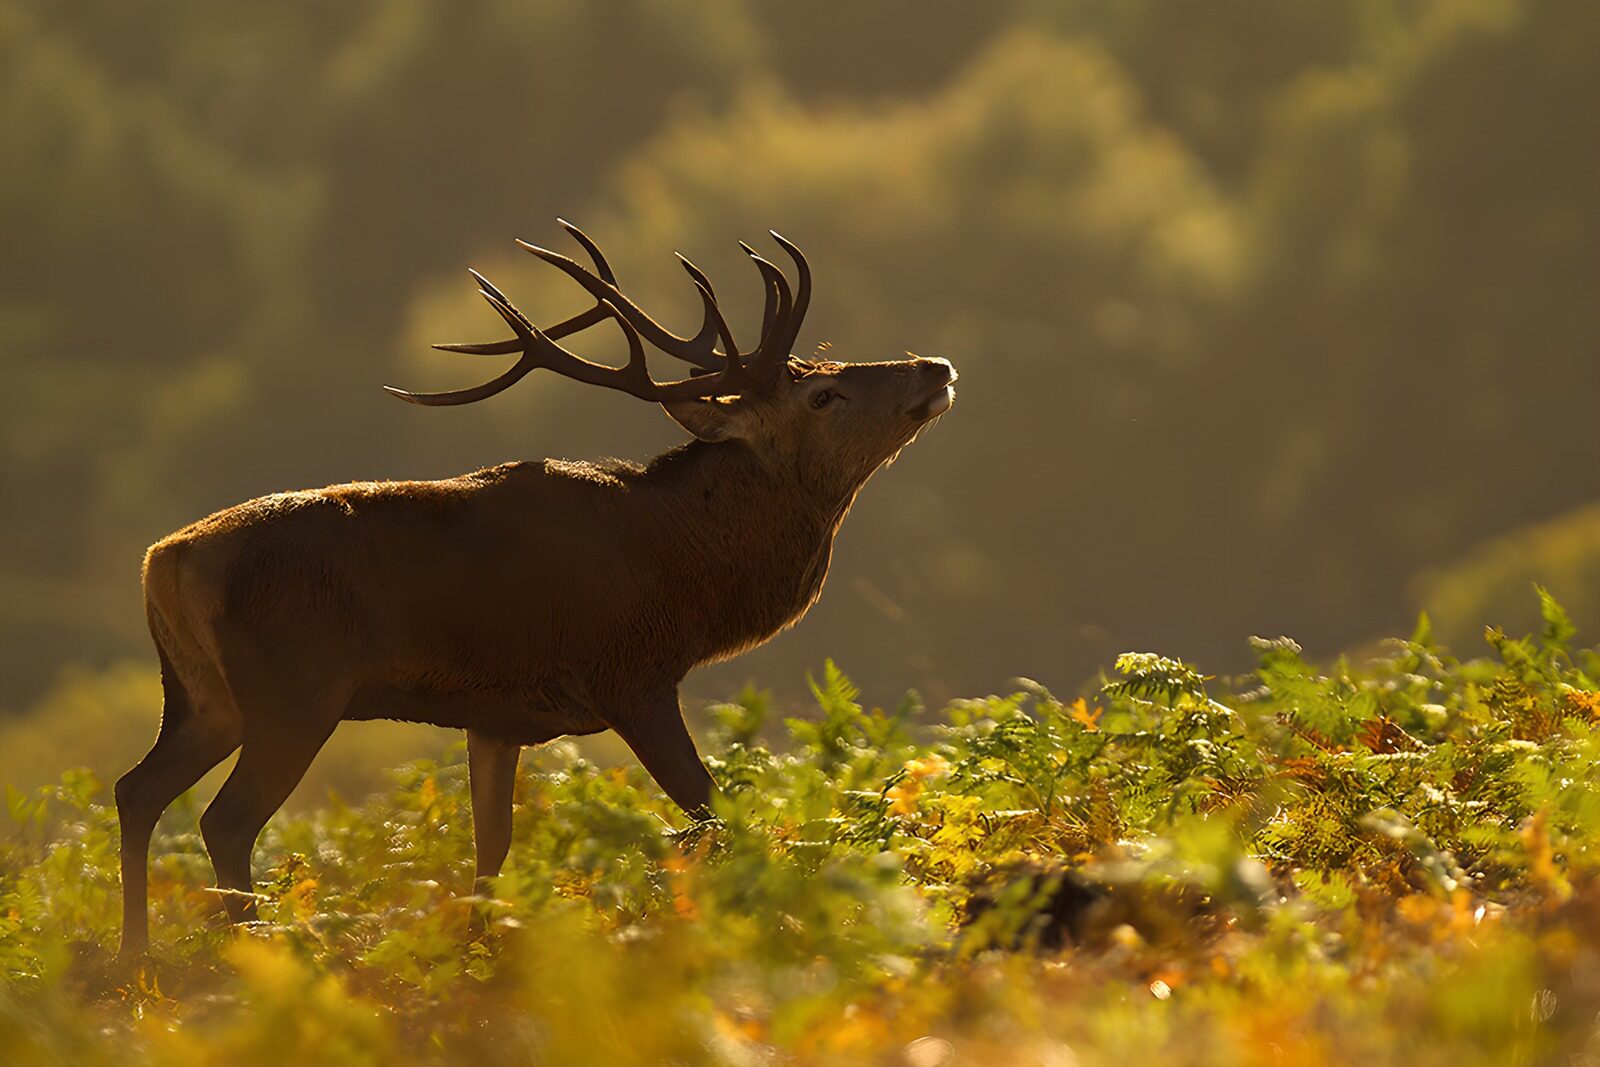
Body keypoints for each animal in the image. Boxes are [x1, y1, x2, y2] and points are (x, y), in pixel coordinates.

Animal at [113, 221, 955, 962]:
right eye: (823, 397)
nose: (935, 368)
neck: (689, 570)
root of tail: (165, 561)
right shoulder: (631, 674)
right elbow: (713, 808)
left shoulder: (496, 717)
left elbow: (492, 846)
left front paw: (482, 951)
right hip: (296, 687)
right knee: (225, 820)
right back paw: (245, 951)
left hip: (204, 698)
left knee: (135, 789)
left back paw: (133, 955)